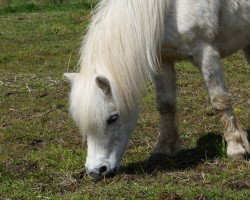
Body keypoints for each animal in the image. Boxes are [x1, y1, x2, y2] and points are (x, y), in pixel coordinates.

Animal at [64, 0, 250, 180]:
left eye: (113, 118)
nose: (96, 171)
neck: (170, 9)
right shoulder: (162, 61)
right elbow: (165, 105)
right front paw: (164, 148)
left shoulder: (207, 55)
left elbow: (219, 100)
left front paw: (235, 148)